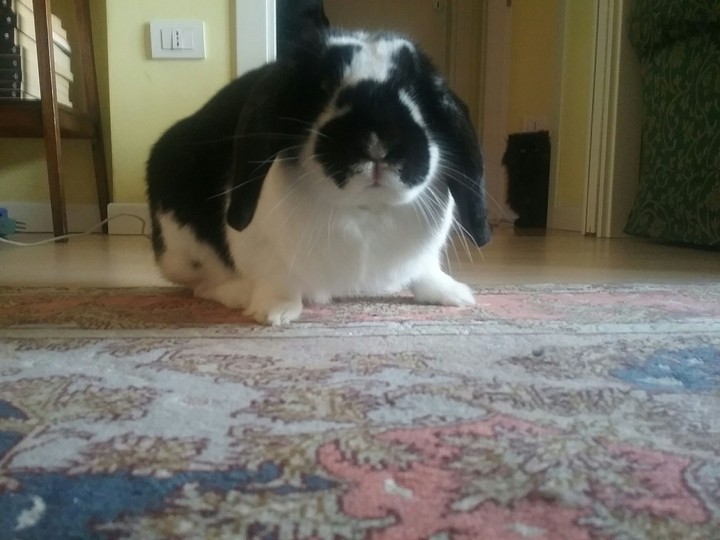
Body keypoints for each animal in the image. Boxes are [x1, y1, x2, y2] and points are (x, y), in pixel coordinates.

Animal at [146, 29, 491, 325]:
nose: (377, 142)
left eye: (416, 92)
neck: (365, 209)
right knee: (204, 285)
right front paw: (275, 312)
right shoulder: (265, 246)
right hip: (182, 250)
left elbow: (426, 271)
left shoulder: (424, 256)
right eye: (323, 87)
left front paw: (453, 295)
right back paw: (240, 293)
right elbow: (276, 278)